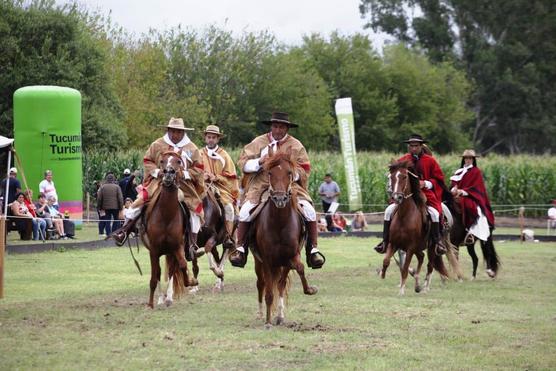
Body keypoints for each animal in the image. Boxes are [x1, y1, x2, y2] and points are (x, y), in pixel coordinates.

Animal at [141, 150, 198, 308]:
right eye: (162, 161)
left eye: (178, 161)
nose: (168, 173)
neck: (166, 215)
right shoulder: (154, 250)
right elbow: (154, 276)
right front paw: (150, 304)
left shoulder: (177, 247)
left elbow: (183, 265)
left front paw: (190, 282)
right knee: (159, 273)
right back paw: (161, 298)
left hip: (171, 252)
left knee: (172, 270)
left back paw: (168, 298)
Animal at [248, 152, 318, 328]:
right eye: (270, 173)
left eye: (289, 173)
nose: (280, 199)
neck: (279, 223)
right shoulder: (267, 260)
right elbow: (268, 292)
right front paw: (267, 322)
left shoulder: (290, 256)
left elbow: (297, 270)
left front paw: (309, 290)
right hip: (259, 262)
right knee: (261, 283)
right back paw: (261, 314)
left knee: (279, 283)